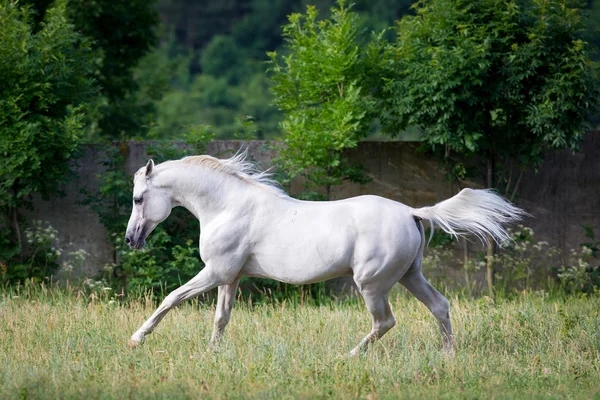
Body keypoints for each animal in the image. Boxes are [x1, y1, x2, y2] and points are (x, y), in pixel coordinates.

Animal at [125, 152, 524, 354]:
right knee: (440, 306)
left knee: (385, 322)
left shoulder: (215, 272)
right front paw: (212, 354)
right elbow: (221, 319)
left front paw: (136, 339)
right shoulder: (230, 277)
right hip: (411, 276)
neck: (227, 206)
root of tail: (412, 212)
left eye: (139, 198)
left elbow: (171, 298)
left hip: (372, 285)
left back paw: (350, 356)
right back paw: (447, 356)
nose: (131, 240)